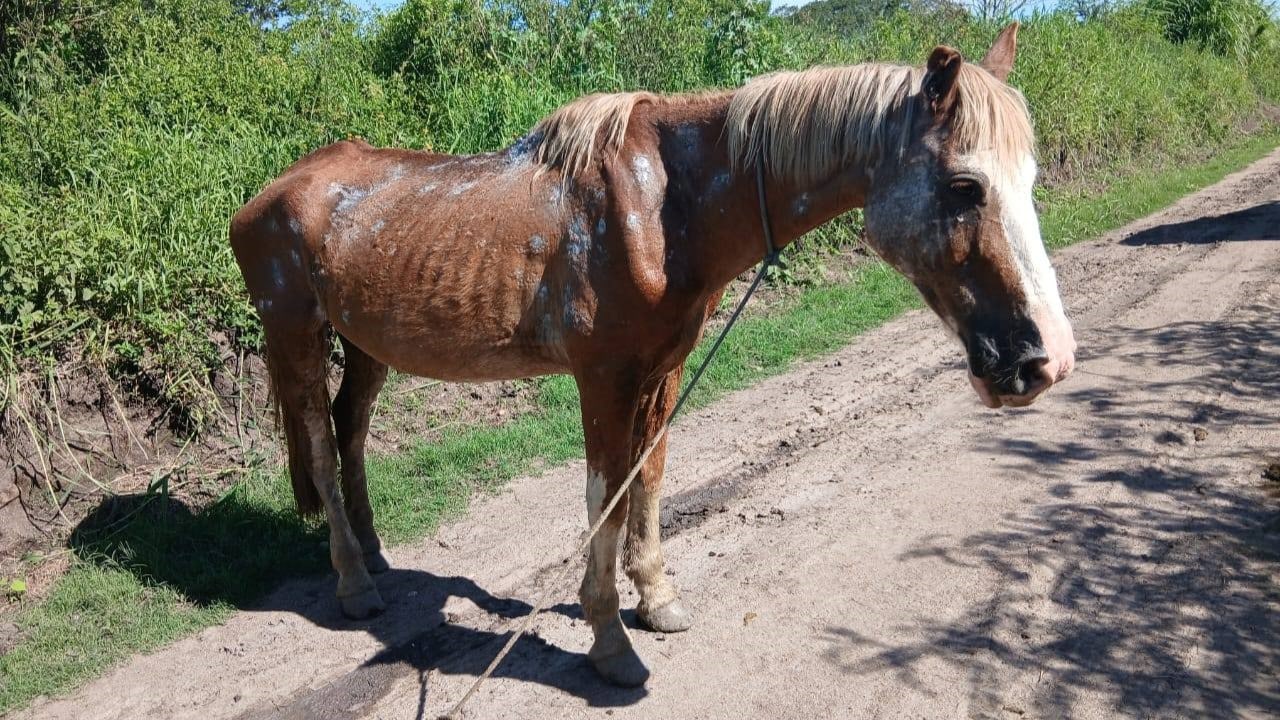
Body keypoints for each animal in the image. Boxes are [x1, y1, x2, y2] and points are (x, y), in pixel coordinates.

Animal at [229, 22, 1075, 687]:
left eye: (1029, 177)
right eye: (964, 185)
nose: (1047, 361)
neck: (666, 206)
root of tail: (271, 192)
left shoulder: (662, 372)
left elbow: (650, 478)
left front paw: (656, 599)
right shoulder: (603, 379)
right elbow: (604, 494)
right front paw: (609, 644)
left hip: (366, 345)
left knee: (351, 430)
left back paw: (374, 554)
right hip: (295, 336)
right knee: (319, 445)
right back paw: (353, 582)